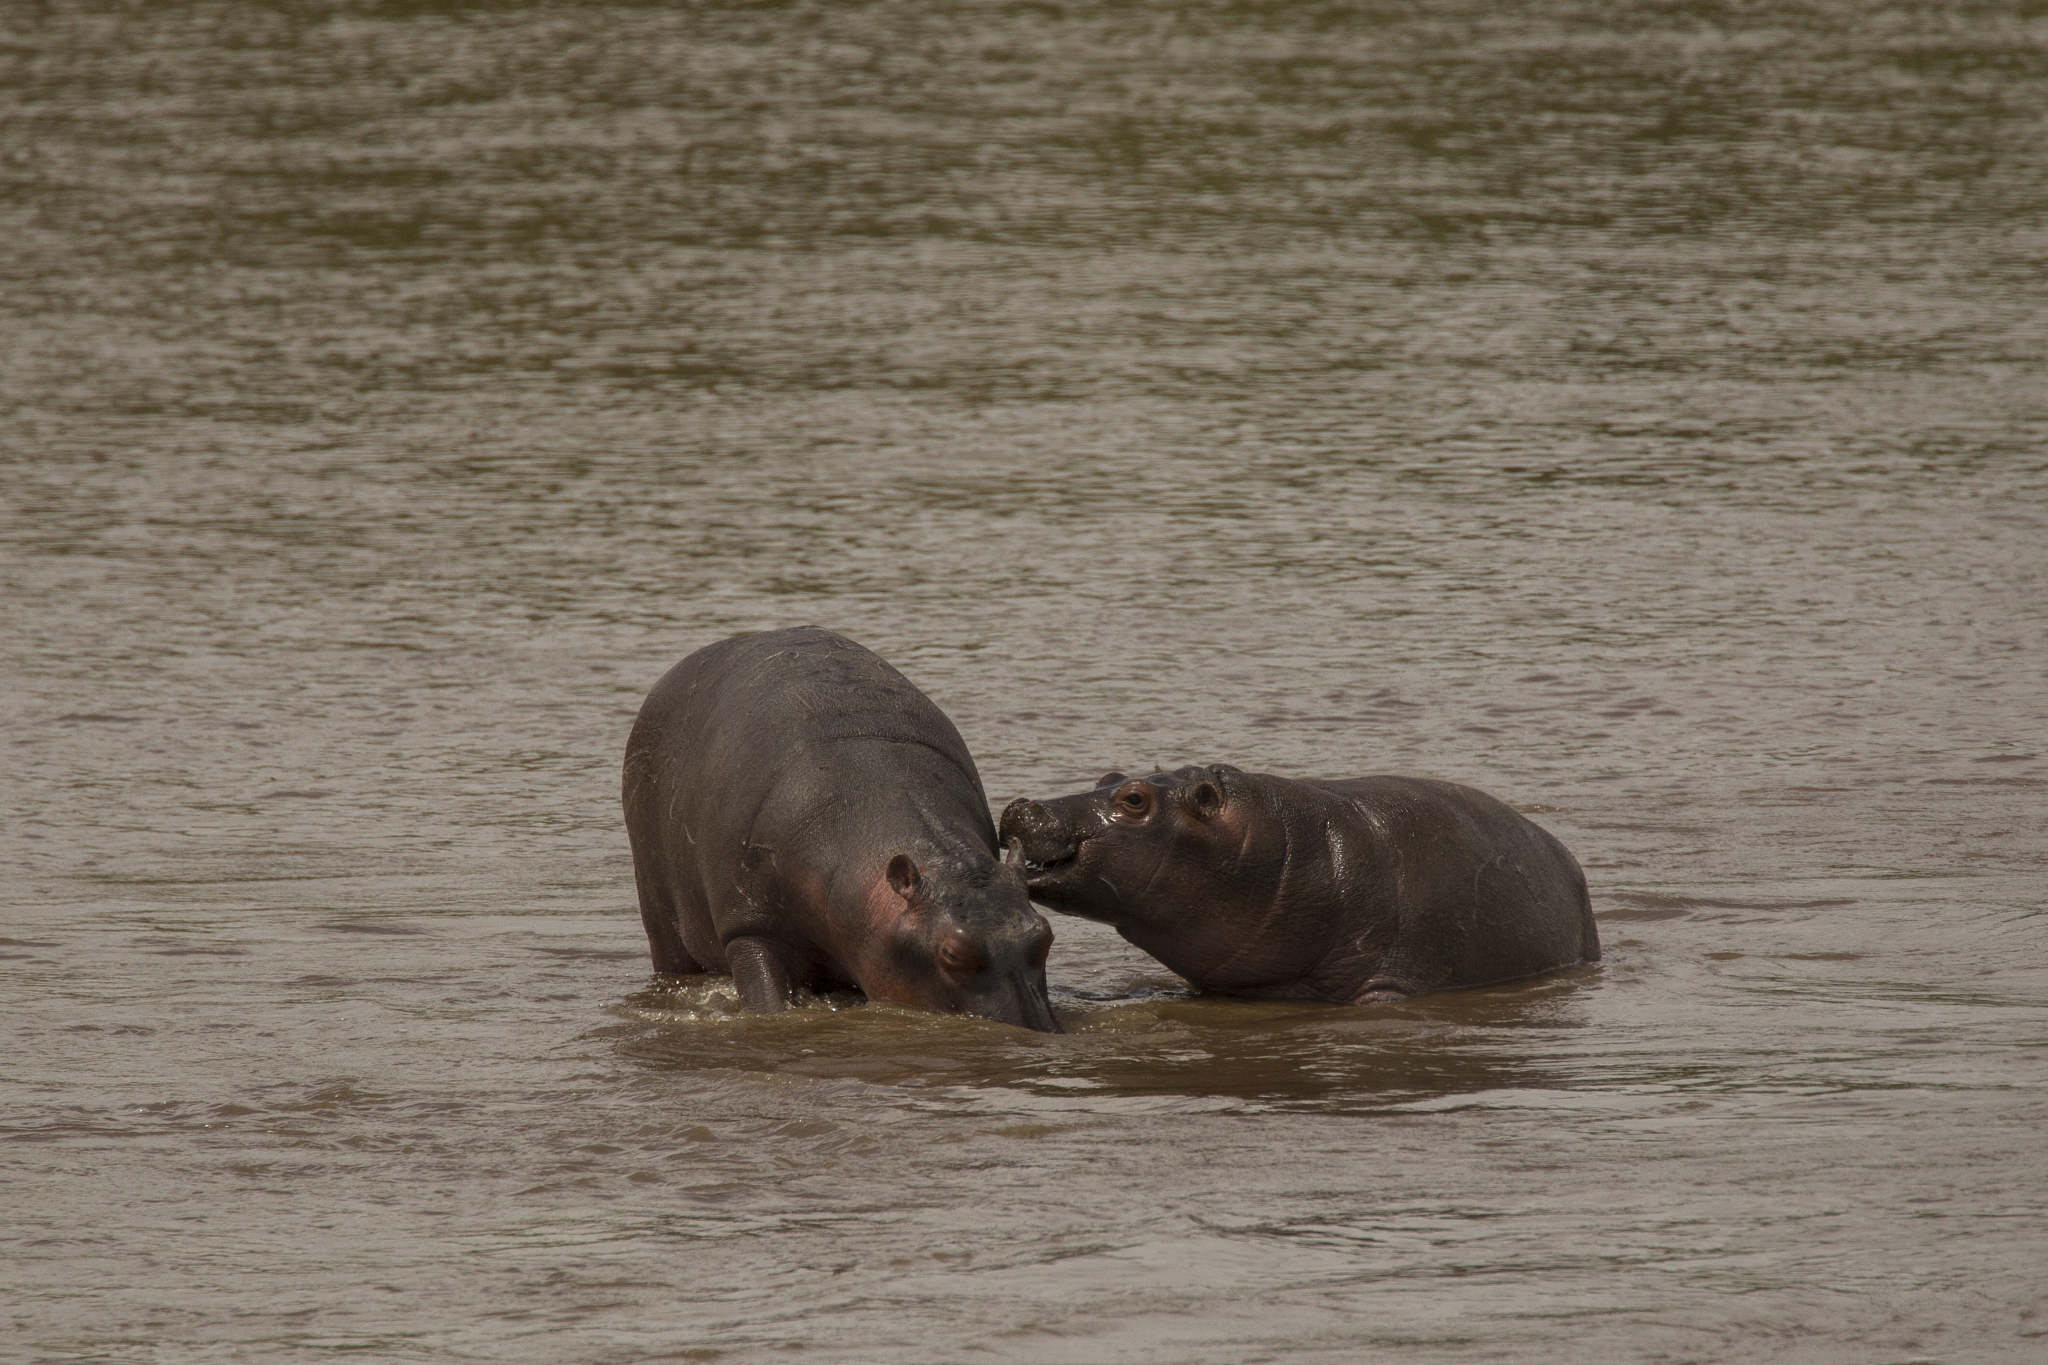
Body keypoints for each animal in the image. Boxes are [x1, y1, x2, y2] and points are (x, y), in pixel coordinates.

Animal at [622, 627, 1059, 1031]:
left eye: (1045, 935)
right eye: (952, 954)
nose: (1039, 1029)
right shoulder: (748, 926)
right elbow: (766, 997)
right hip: (659, 913)